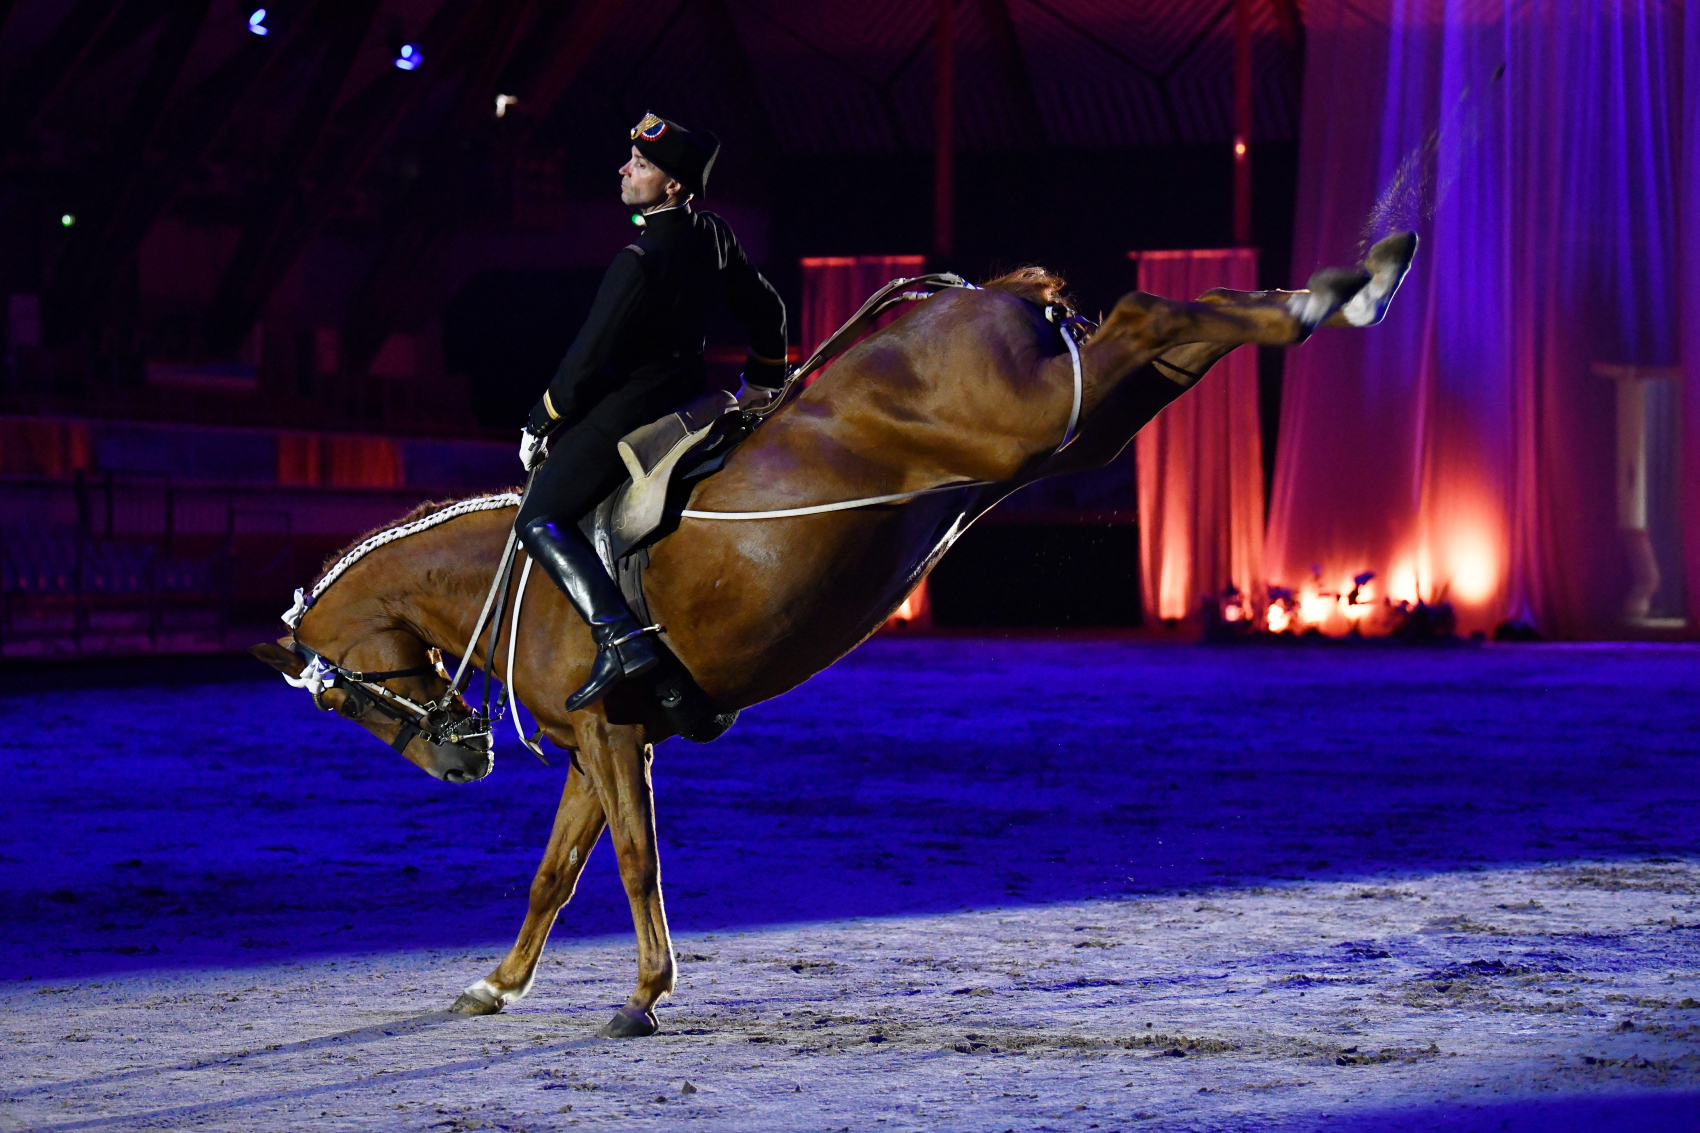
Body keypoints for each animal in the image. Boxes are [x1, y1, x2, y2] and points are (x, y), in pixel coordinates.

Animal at [255, 233, 1421, 1034]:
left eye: (338, 692)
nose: (460, 756)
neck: (532, 573)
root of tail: (981, 294)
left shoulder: (613, 739)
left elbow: (633, 863)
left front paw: (643, 994)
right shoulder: (602, 743)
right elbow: (559, 872)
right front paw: (497, 984)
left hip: (1031, 421)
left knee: (1146, 308)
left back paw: (1350, 287)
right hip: (1078, 427)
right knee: (1172, 329)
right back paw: (1352, 281)